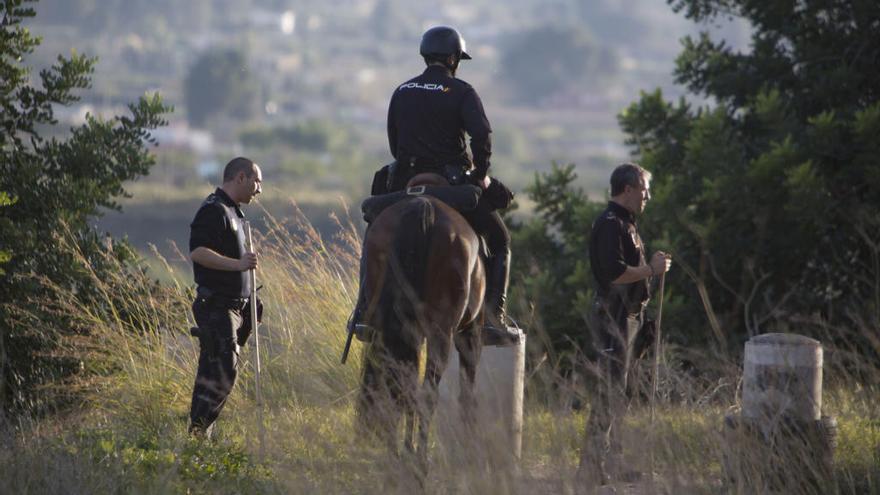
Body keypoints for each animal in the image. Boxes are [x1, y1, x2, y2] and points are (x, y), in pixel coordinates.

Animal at [354, 173, 484, 472]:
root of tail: (422, 206)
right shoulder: (470, 334)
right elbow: (467, 390)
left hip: (397, 328)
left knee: (401, 386)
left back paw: (400, 453)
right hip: (441, 333)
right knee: (425, 392)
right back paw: (420, 458)